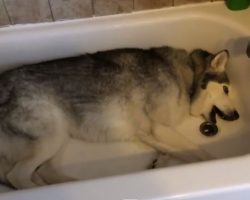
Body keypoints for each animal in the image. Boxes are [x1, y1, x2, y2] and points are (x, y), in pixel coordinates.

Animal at [0, 46, 239, 188]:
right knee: (17, 176)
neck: (185, 75)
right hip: (52, 137)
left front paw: (162, 160)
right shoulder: (159, 127)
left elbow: (177, 151)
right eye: (226, 89)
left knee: (43, 171)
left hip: (60, 138)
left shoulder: (149, 133)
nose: (237, 115)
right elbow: (199, 152)